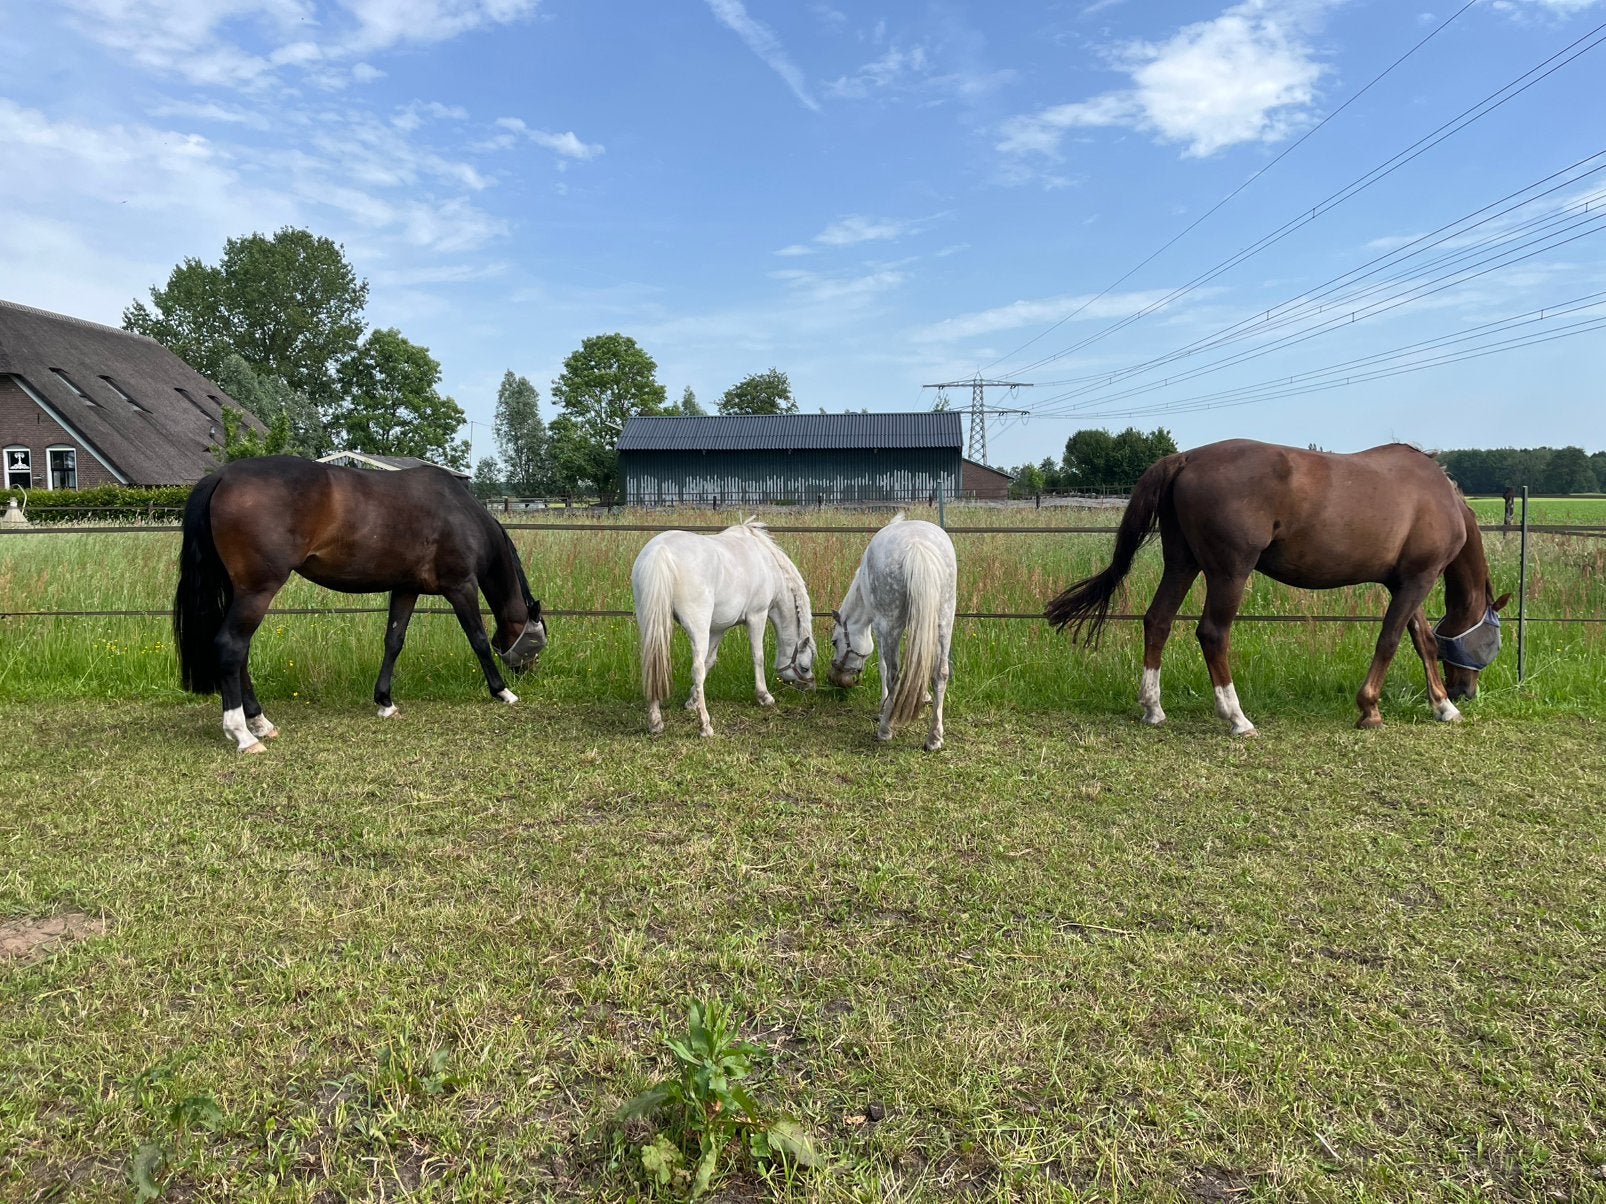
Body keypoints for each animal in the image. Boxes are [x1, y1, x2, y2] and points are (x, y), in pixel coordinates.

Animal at [174, 456, 546, 753]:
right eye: (535, 643)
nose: (529, 673)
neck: (460, 512)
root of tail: (222, 476)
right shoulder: (461, 587)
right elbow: (478, 640)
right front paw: (503, 692)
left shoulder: (406, 589)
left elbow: (394, 641)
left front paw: (385, 702)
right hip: (257, 591)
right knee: (231, 646)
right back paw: (242, 734)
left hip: (242, 592)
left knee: (241, 652)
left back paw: (261, 723)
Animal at [632, 517, 816, 737]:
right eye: (805, 667)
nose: (810, 687)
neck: (767, 563)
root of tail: (661, 551)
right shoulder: (757, 615)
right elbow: (758, 656)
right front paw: (764, 696)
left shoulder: (718, 628)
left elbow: (710, 661)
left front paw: (691, 701)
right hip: (698, 628)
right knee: (696, 668)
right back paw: (705, 726)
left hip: (650, 623)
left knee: (653, 663)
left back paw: (656, 722)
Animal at [827, 514, 957, 751]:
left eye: (834, 641)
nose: (835, 678)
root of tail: (917, 546)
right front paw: (924, 697)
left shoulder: (880, 628)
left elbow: (883, 666)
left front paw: (884, 706)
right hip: (944, 620)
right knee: (940, 672)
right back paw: (934, 738)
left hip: (890, 626)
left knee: (894, 673)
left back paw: (886, 729)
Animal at [1045, 439, 1508, 734]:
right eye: (1492, 641)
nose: (1466, 690)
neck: (1439, 495)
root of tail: (1185, 458)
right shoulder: (1419, 579)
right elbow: (1391, 640)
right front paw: (1370, 709)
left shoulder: (1405, 582)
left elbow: (1423, 640)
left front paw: (1442, 706)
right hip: (1230, 572)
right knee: (1212, 634)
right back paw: (1236, 718)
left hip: (1182, 564)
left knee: (1158, 621)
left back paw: (1153, 709)